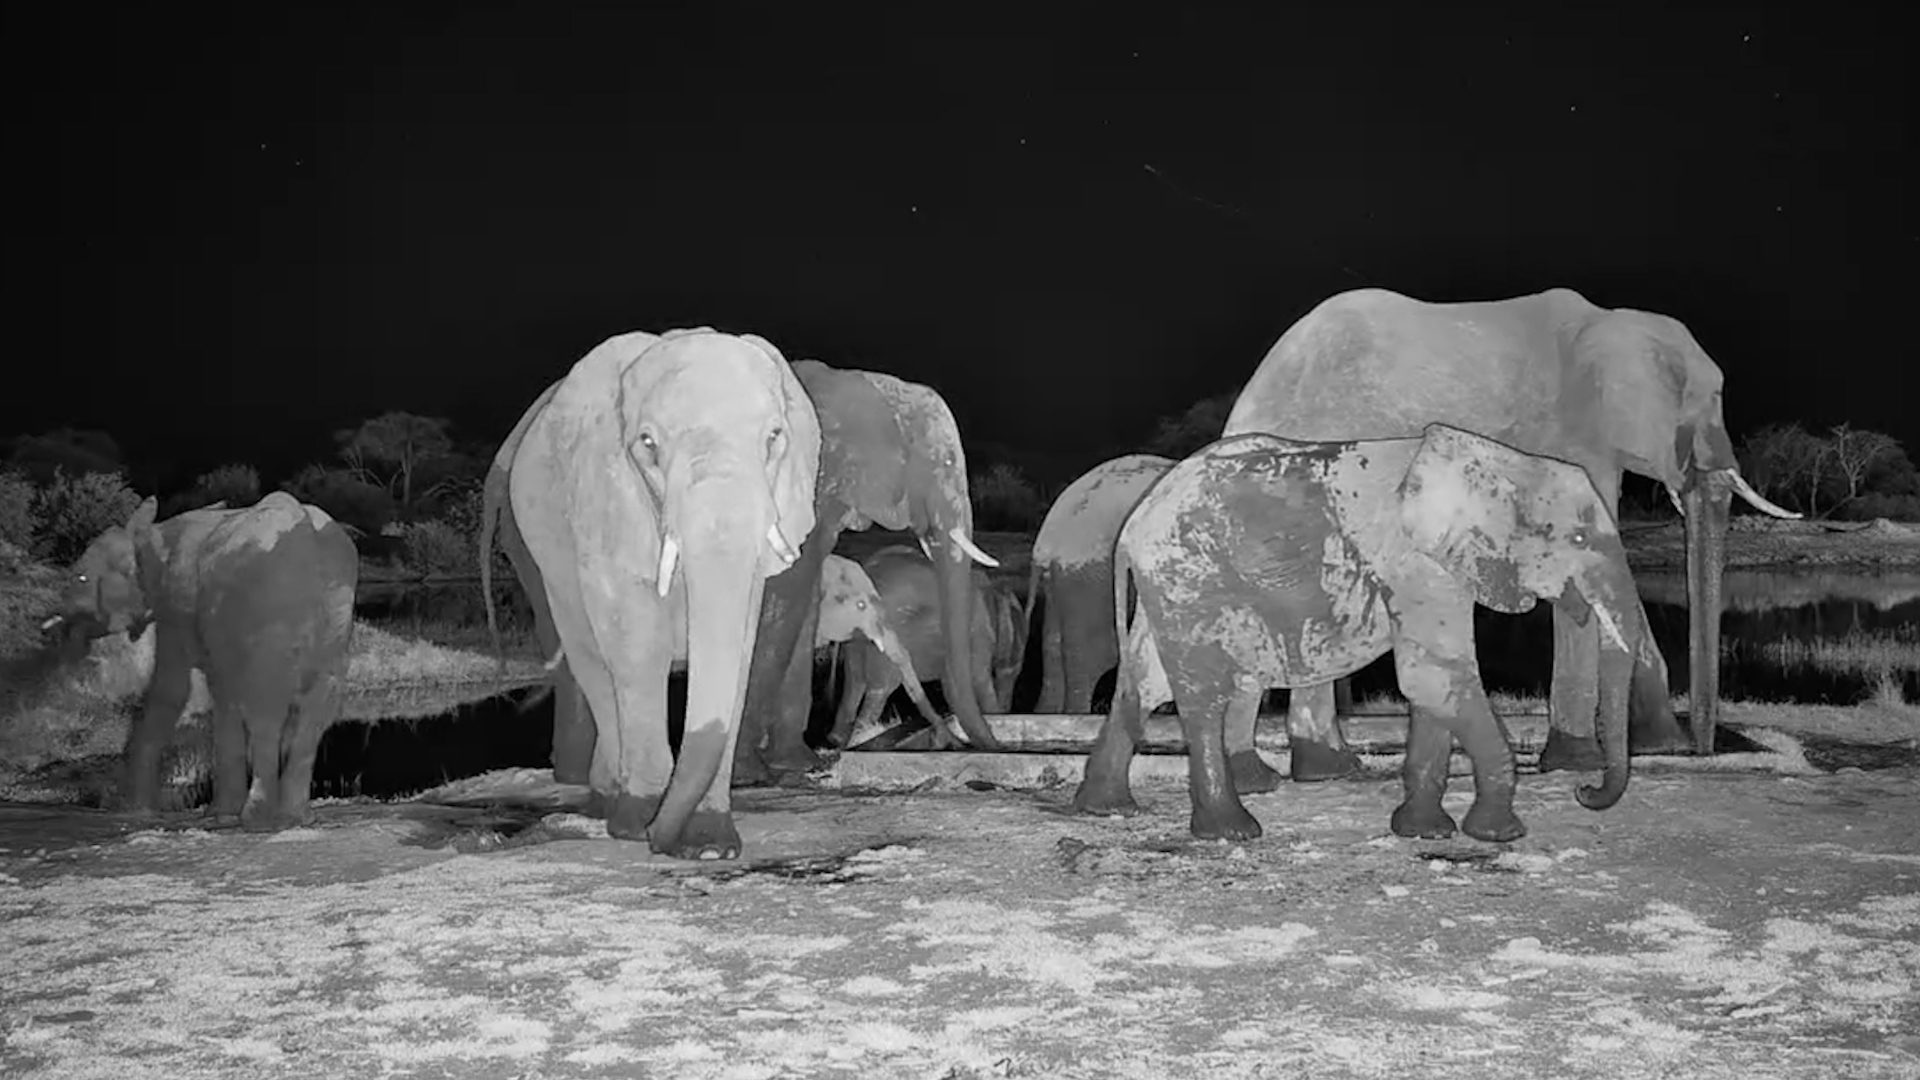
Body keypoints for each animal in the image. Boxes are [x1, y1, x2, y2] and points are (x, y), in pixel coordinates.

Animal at [47, 492, 358, 830]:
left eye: (80, 579)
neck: (153, 532)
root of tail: (310, 538)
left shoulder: (175, 606)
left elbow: (172, 691)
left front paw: (137, 810)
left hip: (269, 613)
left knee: (265, 708)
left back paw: (256, 819)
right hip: (333, 618)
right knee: (317, 709)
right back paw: (294, 817)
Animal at [506, 328, 820, 859]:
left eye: (774, 438)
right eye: (648, 444)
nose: (661, 839)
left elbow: (741, 647)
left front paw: (710, 845)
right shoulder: (608, 504)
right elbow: (637, 642)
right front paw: (640, 825)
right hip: (550, 560)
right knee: (592, 663)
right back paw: (610, 801)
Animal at [734, 360, 1003, 781]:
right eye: (944, 462)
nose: (997, 748)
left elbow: (802, 601)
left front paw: (797, 763)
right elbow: (785, 596)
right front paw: (751, 773)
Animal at [1074, 425, 1649, 845]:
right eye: (1579, 539)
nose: (1585, 791)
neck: (1500, 460)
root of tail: (1135, 521)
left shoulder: (1439, 569)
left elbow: (1433, 686)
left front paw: (1423, 833)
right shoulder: (1417, 564)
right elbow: (1435, 676)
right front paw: (1498, 836)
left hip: (1170, 586)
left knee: (1145, 682)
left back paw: (1104, 808)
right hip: (1189, 578)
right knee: (1203, 692)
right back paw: (1230, 832)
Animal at [1222, 287, 1798, 768]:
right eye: (1715, 399)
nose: (1703, 749)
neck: (1614, 322)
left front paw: (1654, 745)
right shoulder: (1577, 439)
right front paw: (1576, 761)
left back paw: (1320, 768)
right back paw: (1319, 769)